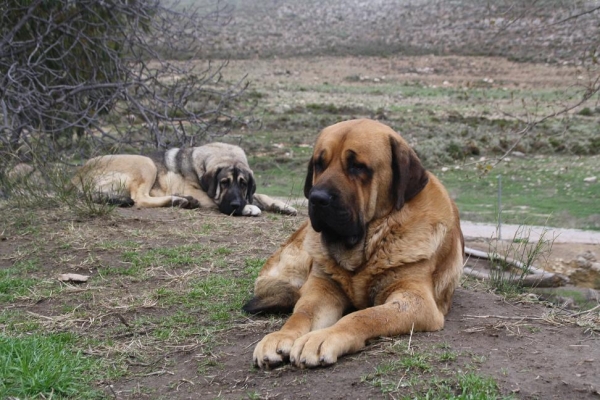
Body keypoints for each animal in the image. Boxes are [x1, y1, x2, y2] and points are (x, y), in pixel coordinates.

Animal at [71, 141, 296, 216]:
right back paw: (179, 200)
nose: (235, 205)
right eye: (223, 183)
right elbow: (217, 201)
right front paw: (248, 208)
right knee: (140, 199)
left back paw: (182, 200)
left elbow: (261, 195)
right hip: (145, 163)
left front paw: (282, 205)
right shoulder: (205, 194)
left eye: (243, 184)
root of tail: (76, 178)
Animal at [243, 118, 464, 368]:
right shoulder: (322, 288)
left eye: (357, 166)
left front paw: (323, 337)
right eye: (319, 164)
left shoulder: (415, 300)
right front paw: (281, 336)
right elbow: (302, 313)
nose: (317, 198)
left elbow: (365, 315)